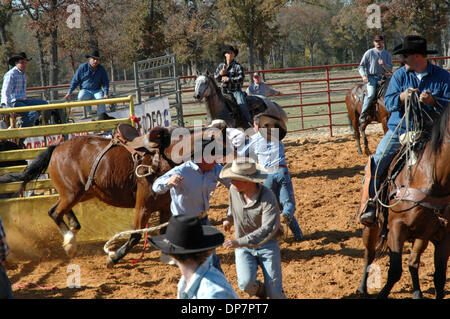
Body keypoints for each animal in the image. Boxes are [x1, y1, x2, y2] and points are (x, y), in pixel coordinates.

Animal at [358, 105, 450, 300]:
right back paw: (362, 288)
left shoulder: (444, 235)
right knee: (369, 253)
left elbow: (439, 277)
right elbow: (394, 271)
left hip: (422, 236)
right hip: (372, 225)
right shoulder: (396, 227)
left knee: (413, 263)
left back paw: (417, 293)